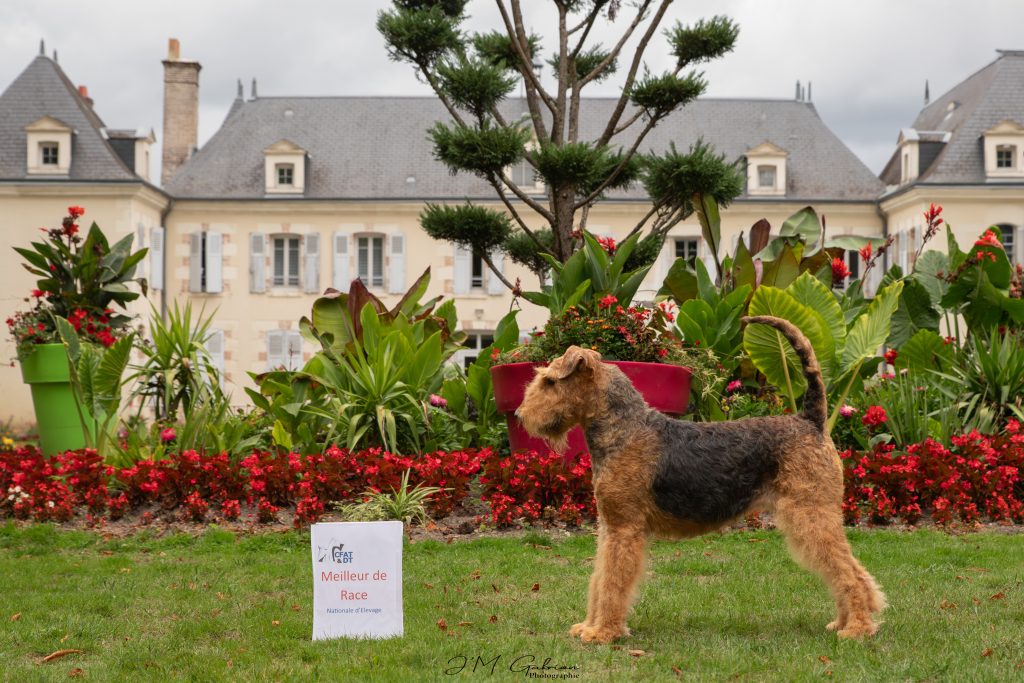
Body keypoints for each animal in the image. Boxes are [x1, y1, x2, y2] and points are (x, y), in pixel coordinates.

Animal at [515, 315, 885, 643]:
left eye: (550, 382)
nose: (520, 415)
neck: (625, 429)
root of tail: (812, 419)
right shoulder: (610, 527)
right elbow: (600, 579)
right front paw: (589, 626)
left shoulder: (624, 530)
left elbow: (612, 584)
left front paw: (603, 633)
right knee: (853, 571)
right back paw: (844, 622)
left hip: (810, 514)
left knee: (849, 573)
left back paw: (857, 628)